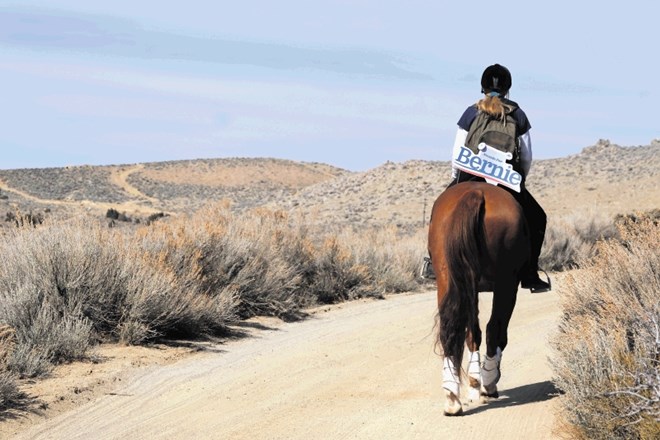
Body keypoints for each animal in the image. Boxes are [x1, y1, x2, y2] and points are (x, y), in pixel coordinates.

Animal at [428, 180, 532, 414]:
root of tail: (476, 193)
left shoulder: (469, 288)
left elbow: (471, 333)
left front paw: (475, 382)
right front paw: (483, 382)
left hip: (449, 279)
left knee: (452, 329)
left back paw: (452, 397)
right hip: (506, 284)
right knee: (494, 329)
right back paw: (489, 383)